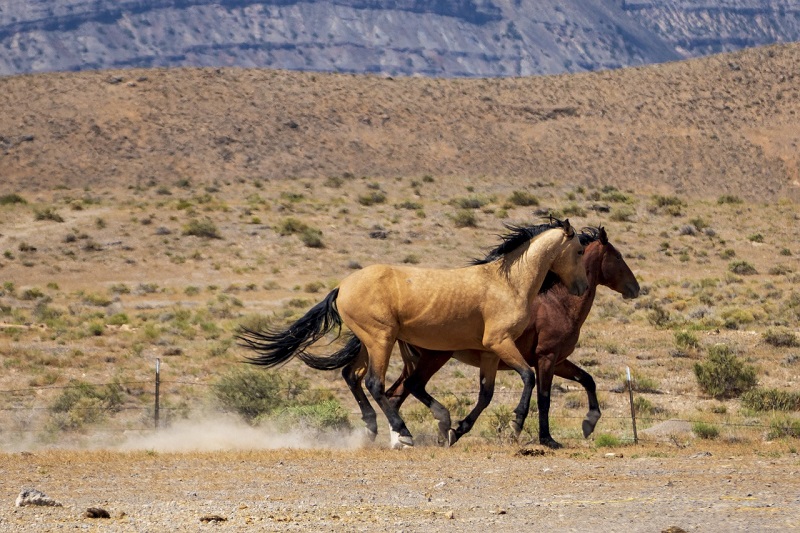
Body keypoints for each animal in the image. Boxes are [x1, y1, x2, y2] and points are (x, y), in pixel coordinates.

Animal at [237, 217, 588, 448]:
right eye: (580, 251)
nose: (583, 287)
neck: (508, 281)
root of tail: (342, 287)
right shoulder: (500, 342)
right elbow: (528, 377)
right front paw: (515, 425)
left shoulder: (490, 352)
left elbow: (488, 393)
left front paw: (460, 428)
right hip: (381, 339)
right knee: (375, 383)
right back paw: (402, 433)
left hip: (370, 342)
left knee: (353, 376)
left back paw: (374, 428)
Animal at [387, 226, 640, 448]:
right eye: (618, 256)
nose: (635, 288)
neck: (558, 303)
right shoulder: (546, 358)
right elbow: (544, 397)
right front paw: (543, 437)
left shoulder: (557, 360)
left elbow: (587, 379)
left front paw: (589, 422)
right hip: (435, 357)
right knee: (411, 386)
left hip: (418, 361)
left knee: (395, 395)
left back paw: (402, 438)